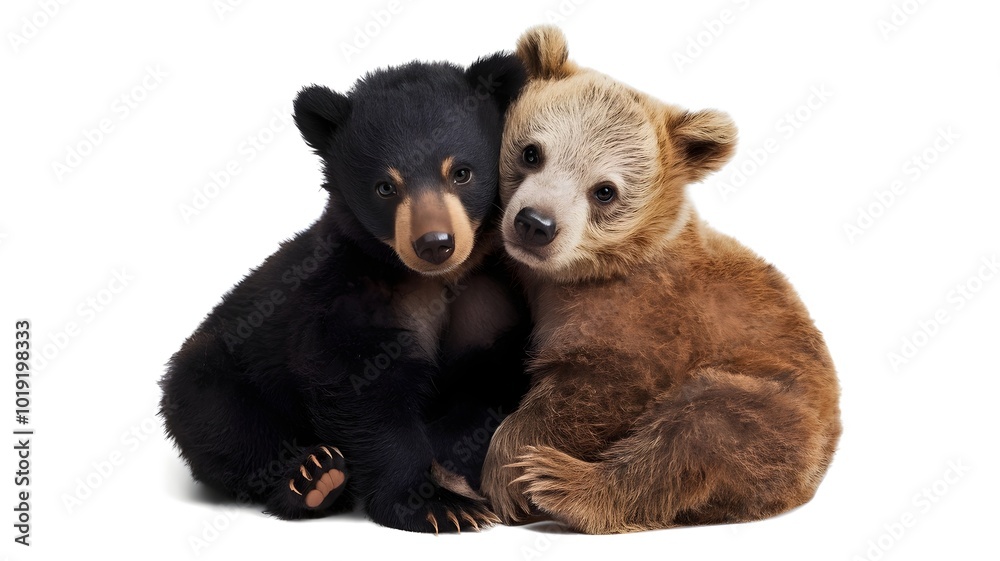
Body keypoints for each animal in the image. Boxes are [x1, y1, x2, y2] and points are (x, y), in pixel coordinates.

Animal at [159, 52, 529, 533]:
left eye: (461, 172)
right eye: (385, 186)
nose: (435, 244)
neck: (434, 280)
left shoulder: (490, 301)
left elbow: (489, 385)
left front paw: (453, 475)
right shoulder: (344, 291)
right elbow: (359, 388)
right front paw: (435, 505)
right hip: (220, 364)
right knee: (218, 418)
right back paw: (313, 478)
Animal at [479, 26, 842, 534]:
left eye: (605, 190)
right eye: (532, 152)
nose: (535, 223)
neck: (573, 272)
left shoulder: (647, 312)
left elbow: (605, 382)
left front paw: (509, 474)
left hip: (783, 407)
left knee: (700, 429)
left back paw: (564, 485)